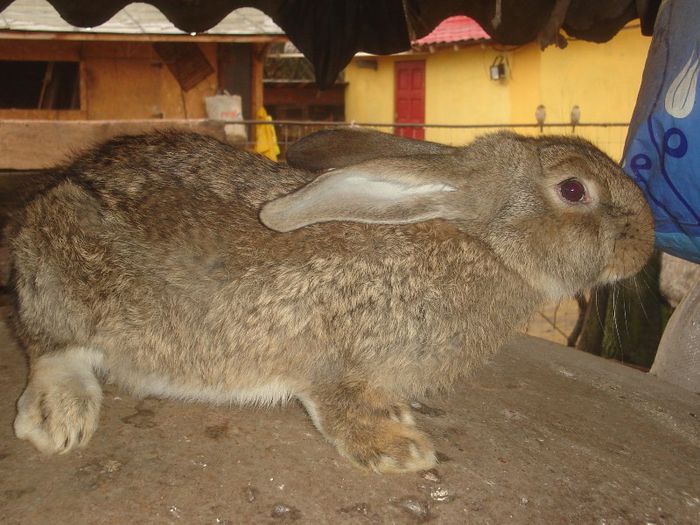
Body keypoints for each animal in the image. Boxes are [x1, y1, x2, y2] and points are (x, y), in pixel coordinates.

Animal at [9, 129, 656, 472]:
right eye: (572, 189)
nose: (646, 242)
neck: (486, 245)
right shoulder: (335, 359)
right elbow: (336, 404)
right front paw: (400, 450)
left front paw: (397, 416)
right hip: (66, 277)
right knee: (49, 348)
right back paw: (60, 417)